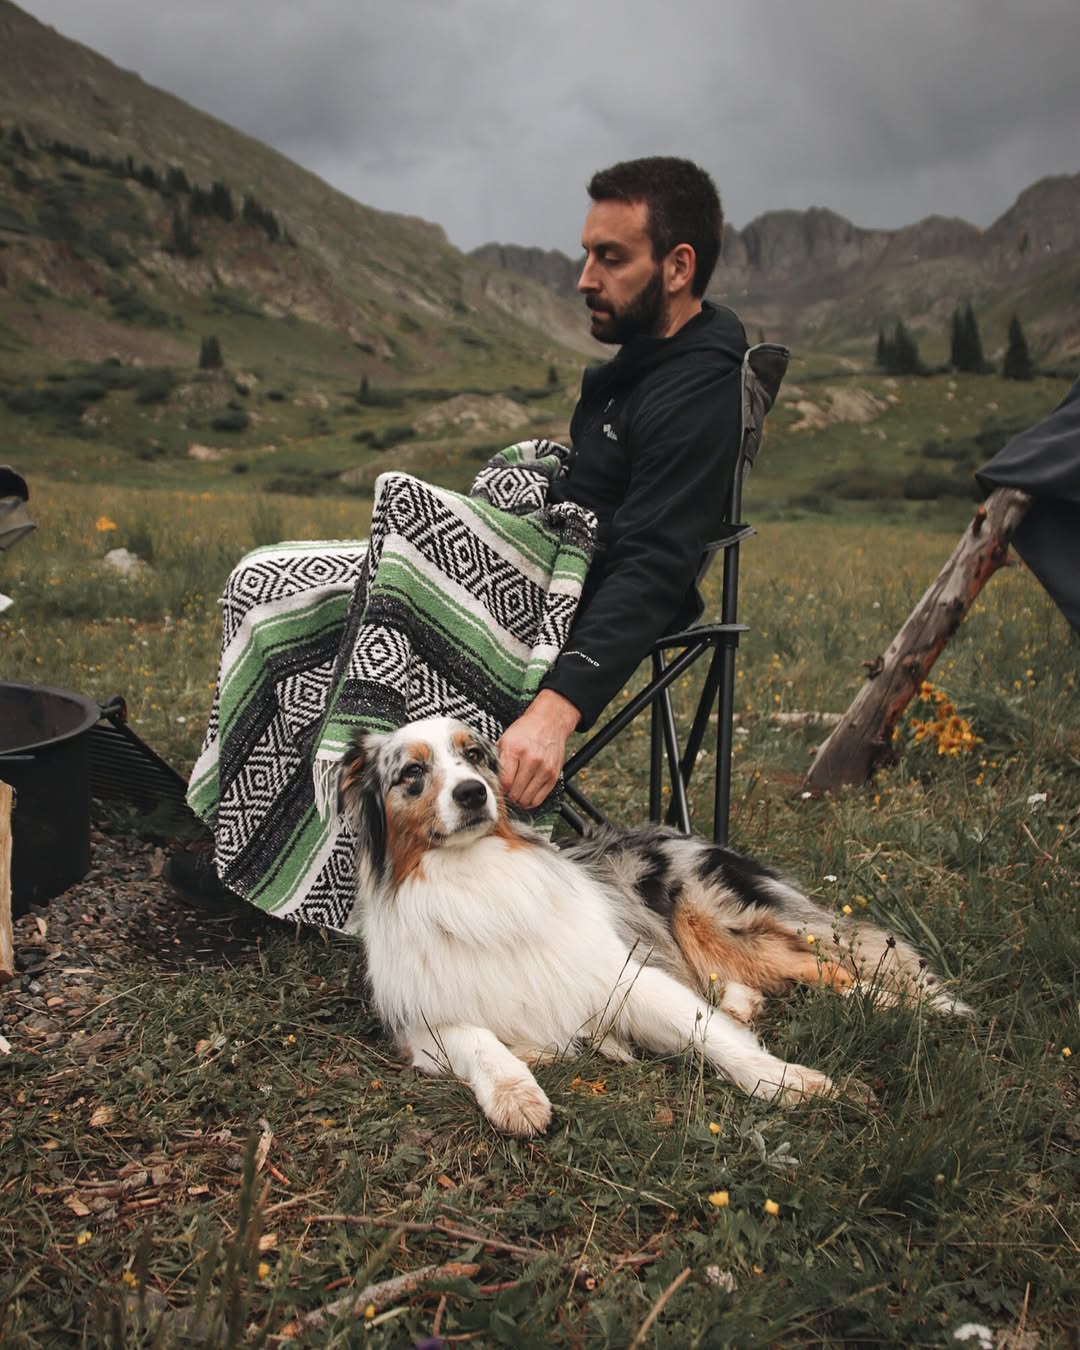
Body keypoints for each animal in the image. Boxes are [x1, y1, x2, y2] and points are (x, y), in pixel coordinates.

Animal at [340, 712, 972, 1134]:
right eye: (413, 772)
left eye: (473, 756)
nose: (472, 794)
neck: (474, 878)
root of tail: (683, 833)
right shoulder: (424, 1020)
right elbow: (480, 1041)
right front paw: (518, 1094)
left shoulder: (625, 973)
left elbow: (710, 1035)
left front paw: (788, 1082)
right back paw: (745, 1001)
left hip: (711, 921)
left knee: (829, 965)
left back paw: (912, 1005)